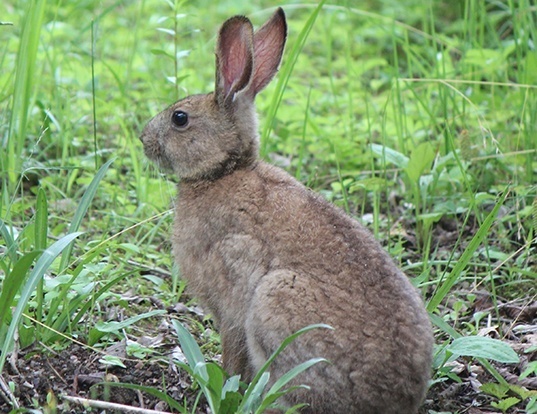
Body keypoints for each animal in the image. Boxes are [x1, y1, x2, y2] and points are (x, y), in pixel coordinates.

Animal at [140, 7, 434, 414]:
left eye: (179, 118)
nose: (143, 139)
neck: (223, 171)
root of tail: (394, 399)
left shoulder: (234, 292)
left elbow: (233, 353)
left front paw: (225, 390)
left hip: (275, 301)